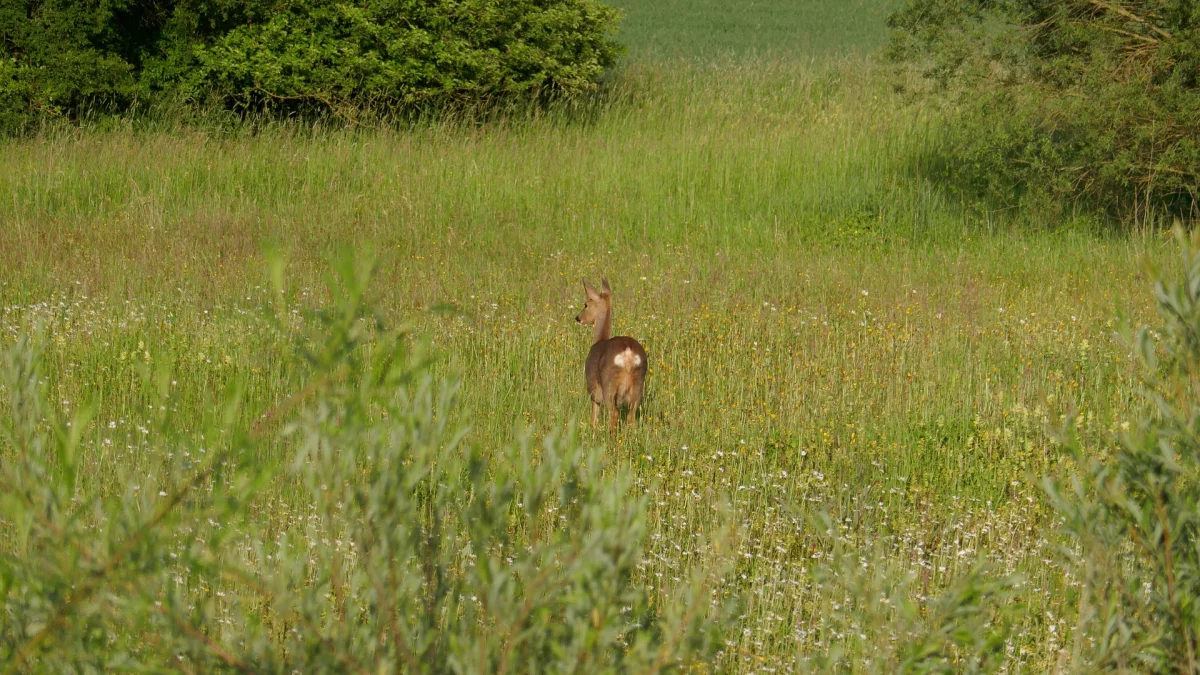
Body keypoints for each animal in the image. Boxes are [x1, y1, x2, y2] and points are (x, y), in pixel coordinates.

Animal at [573, 277, 648, 425]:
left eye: (586, 304)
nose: (578, 318)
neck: (599, 339)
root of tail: (628, 353)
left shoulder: (593, 390)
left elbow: (594, 418)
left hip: (609, 385)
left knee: (614, 413)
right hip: (638, 384)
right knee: (631, 416)